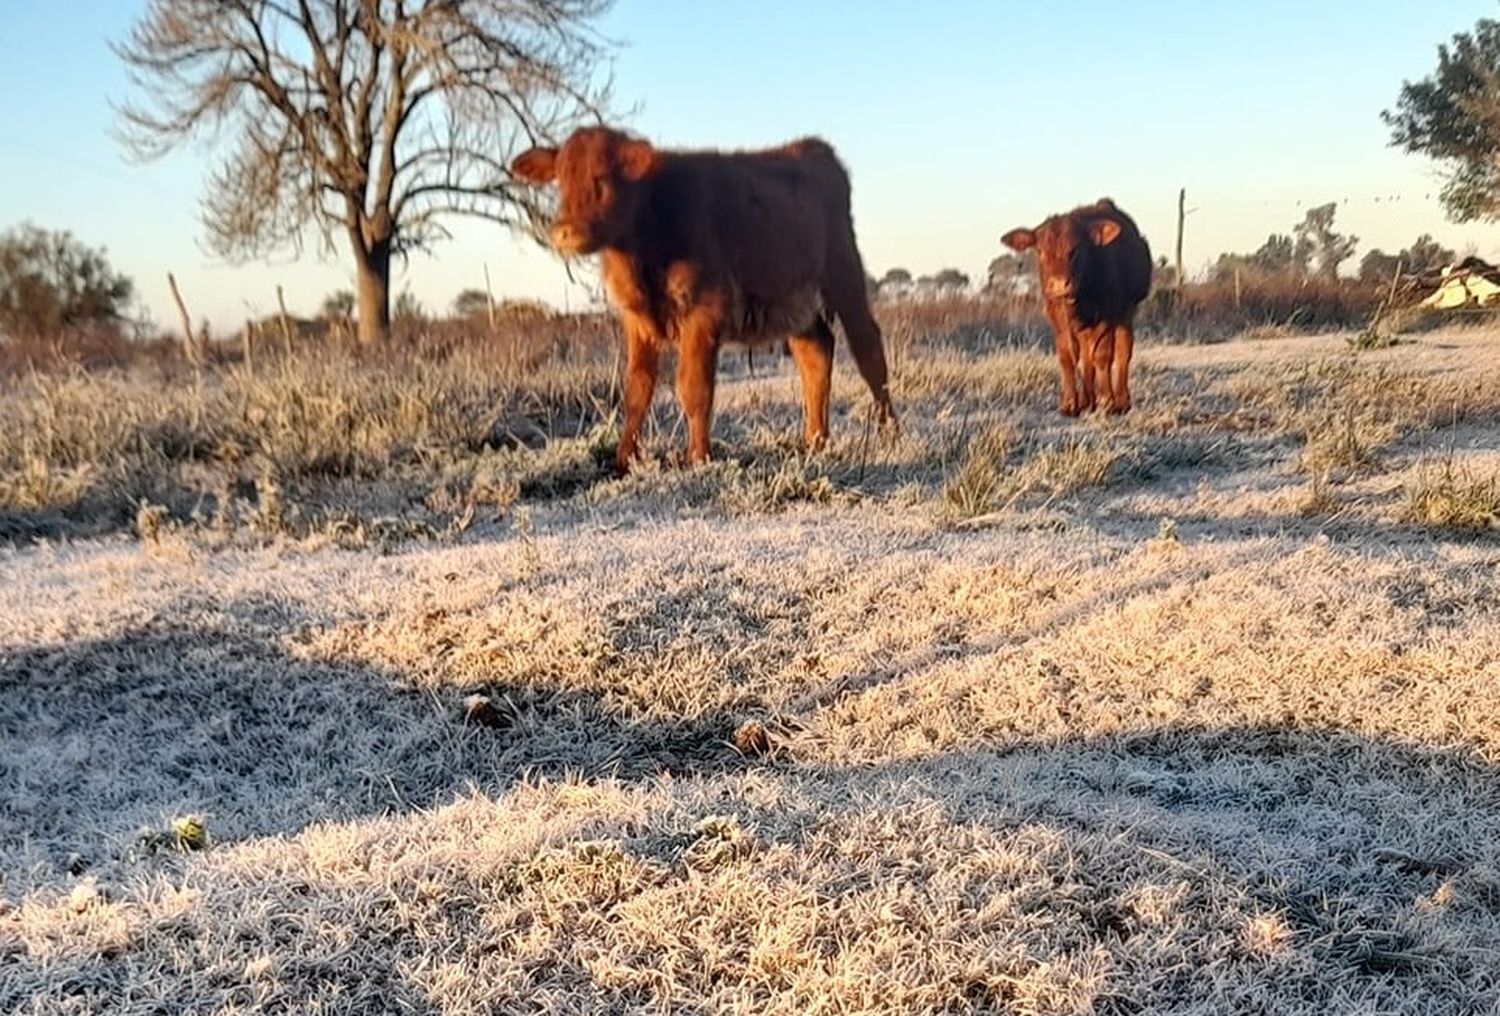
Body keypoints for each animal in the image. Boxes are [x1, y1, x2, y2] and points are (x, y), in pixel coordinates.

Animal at [510, 126, 894, 471]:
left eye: (601, 179)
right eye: (560, 181)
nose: (563, 231)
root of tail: (812, 148)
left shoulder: (704, 311)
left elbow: (694, 388)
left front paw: (697, 457)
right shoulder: (638, 323)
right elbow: (636, 391)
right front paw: (624, 458)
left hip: (844, 274)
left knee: (868, 351)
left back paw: (889, 431)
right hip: (792, 301)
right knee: (815, 352)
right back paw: (815, 441)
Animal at [1002, 198, 1152, 411]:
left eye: (1075, 250)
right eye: (1040, 251)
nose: (1058, 284)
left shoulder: (1108, 314)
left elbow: (1103, 355)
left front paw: (1106, 399)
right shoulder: (1056, 314)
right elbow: (1068, 355)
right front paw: (1071, 401)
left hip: (1127, 312)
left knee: (1122, 351)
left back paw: (1120, 400)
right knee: (1086, 355)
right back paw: (1087, 399)